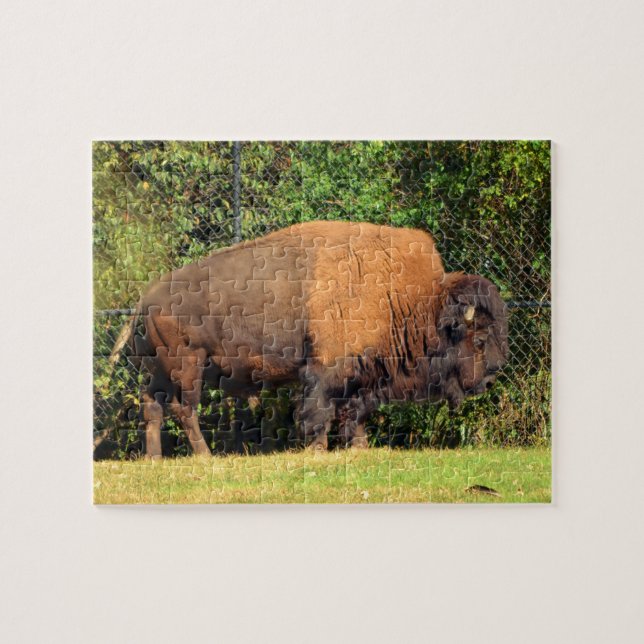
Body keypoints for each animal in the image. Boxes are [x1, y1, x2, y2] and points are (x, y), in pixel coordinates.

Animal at [114, 221, 508, 457]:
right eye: (478, 340)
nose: (489, 379)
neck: (408, 299)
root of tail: (146, 297)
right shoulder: (325, 370)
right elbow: (320, 410)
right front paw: (318, 449)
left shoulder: (361, 374)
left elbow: (354, 412)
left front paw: (359, 448)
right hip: (188, 366)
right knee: (184, 408)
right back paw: (205, 456)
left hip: (162, 371)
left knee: (152, 403)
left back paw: (154, 458)